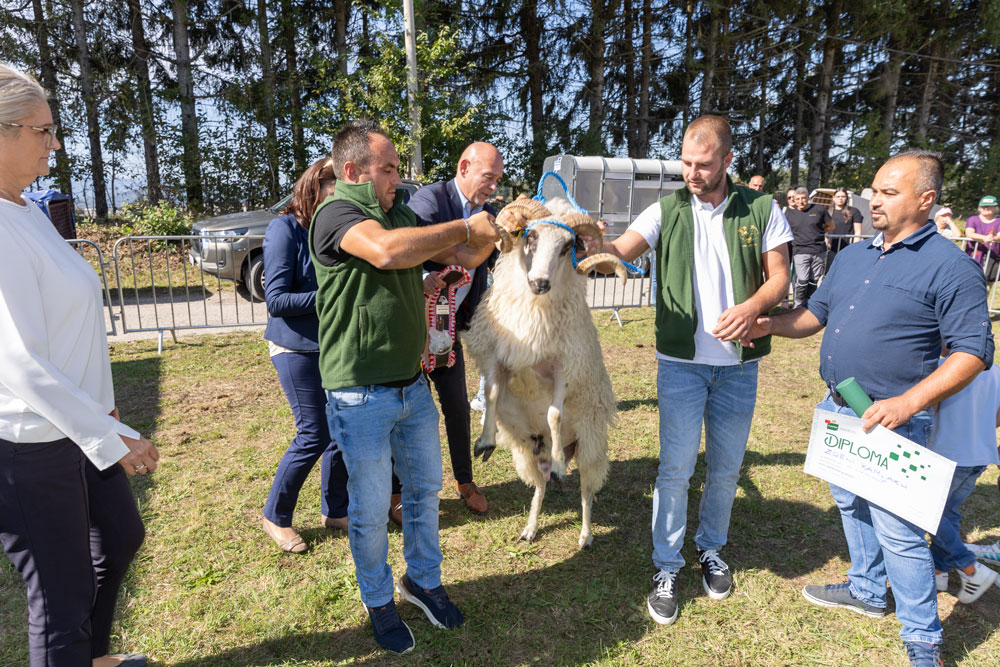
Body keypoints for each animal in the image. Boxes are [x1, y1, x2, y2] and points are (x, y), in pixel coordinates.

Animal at [460, 197, 624, 548]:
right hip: (527, 453)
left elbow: (554, 414)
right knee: (540, 486)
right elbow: (492, 393)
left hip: (590, 445)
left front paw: (562, 464)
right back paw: (531, 528)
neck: (535, 308)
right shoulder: (498, 355)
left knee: (586, 491)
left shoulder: (565, 366)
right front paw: (485, 440)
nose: (540, 283)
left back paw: (585, 533)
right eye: (530, 236)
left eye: (567, 247)